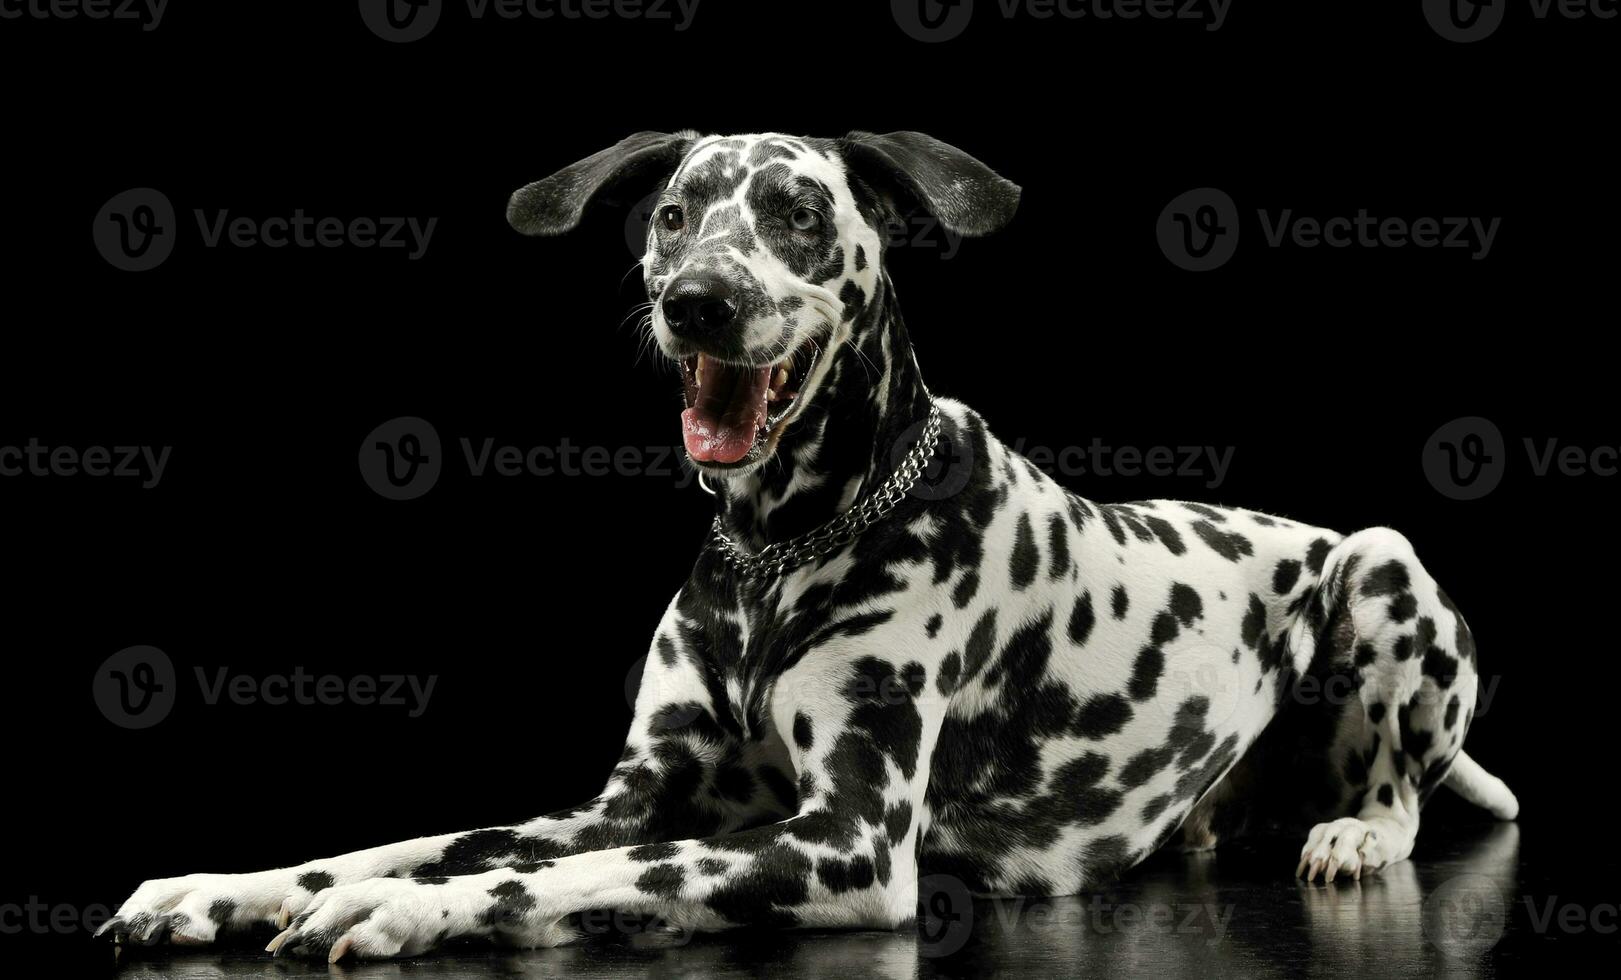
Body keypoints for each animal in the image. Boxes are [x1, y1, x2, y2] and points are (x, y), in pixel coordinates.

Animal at [101, 132, 1517, 965]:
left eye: (793, 213)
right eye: (676, 213)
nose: (697, 301)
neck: (778, 553)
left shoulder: (846, 839)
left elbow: (585, 874)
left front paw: (403, 909)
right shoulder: (621, 797)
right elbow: (421, 836)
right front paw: (227, 884)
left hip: (1381, 563)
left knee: (1398, 789)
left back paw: (1355, 834)